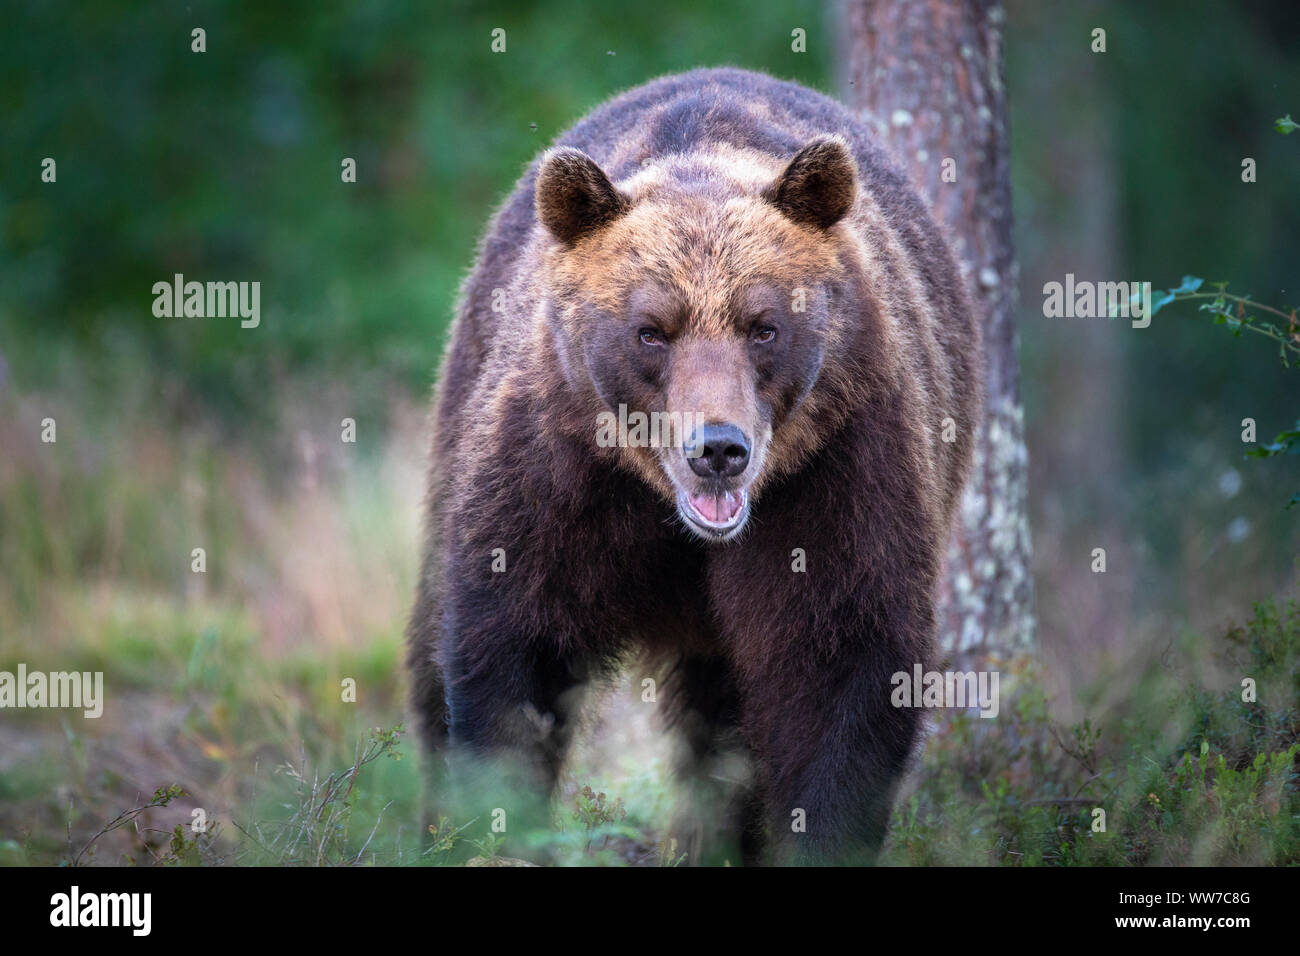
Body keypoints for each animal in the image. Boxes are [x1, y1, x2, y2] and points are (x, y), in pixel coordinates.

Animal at [405, 67, 977, 868]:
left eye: (763, 326)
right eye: (651, 331)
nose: (718, 449)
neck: (671, 522)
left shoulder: (840, 469)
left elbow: (842, 664)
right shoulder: (556, 468)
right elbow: (513, 648)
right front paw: (498, 826)